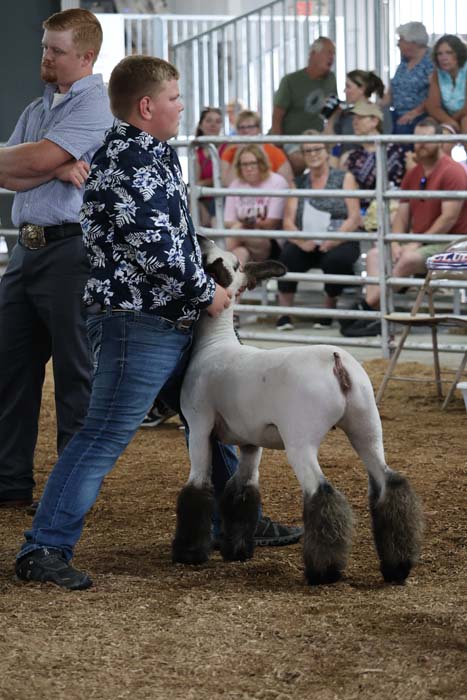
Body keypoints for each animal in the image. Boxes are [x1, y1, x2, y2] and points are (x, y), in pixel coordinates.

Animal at [172, 237, 423, 586]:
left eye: (218, 264)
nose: (202, 239)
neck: (214, 343)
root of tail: (338, 363)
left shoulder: (198, 426)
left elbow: (197, 488)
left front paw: (189, 553)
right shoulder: (251, 441)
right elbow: (241, 491)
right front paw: (237, 551)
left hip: (300, 438)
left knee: (322, 492)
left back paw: (324, 572)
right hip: (367, 426)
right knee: (391, 483)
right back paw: (397, 566)